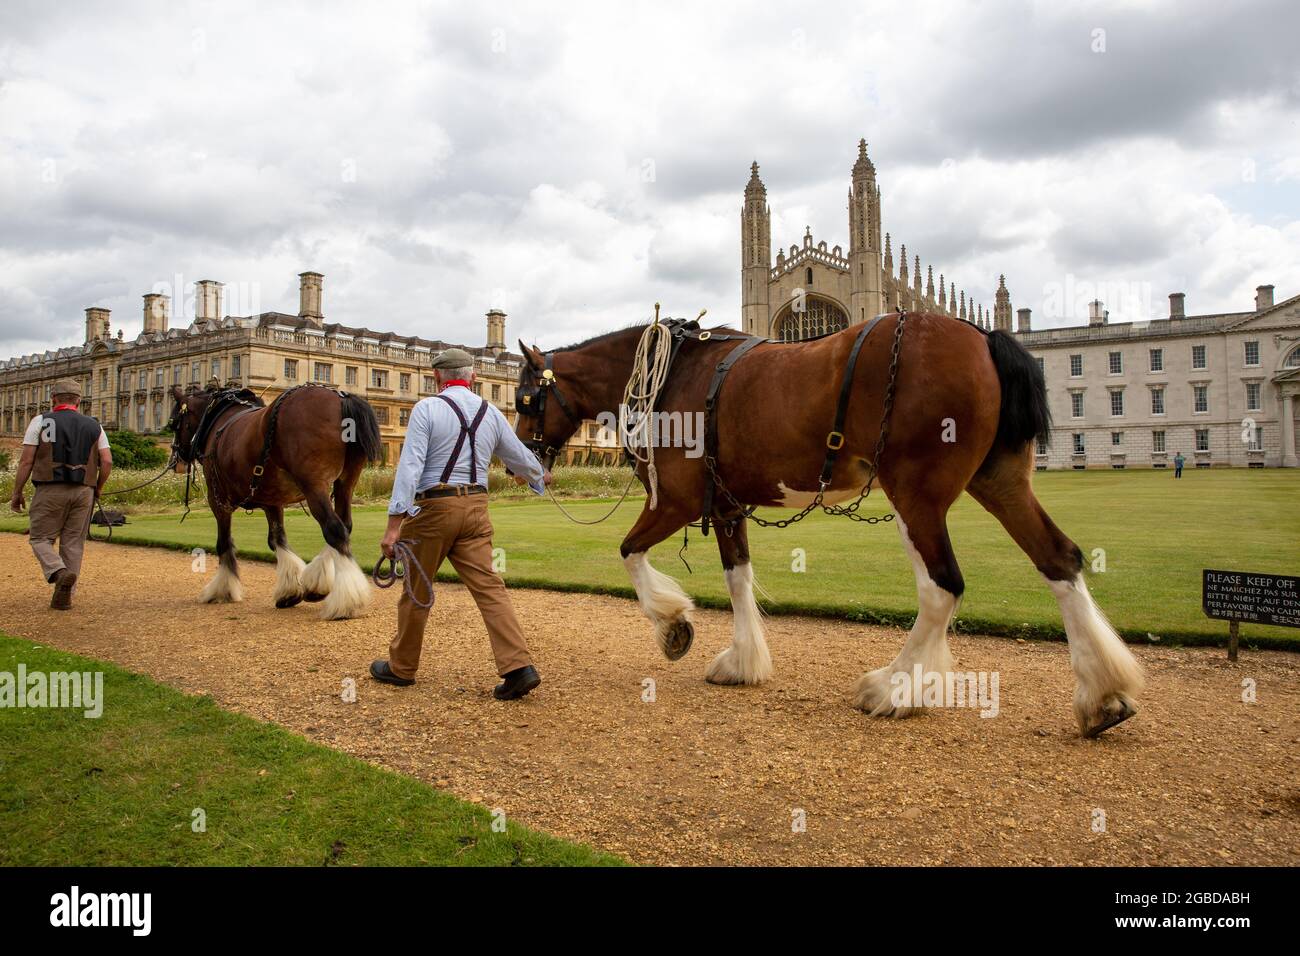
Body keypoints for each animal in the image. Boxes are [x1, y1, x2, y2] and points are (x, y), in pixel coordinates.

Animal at [169, 385, 379, 624]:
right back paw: (317, 584)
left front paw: (223, 589)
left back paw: (346, 601)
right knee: (345, 525)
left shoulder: (218, 500)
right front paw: (290, 591)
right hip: (345, 482)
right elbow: (277, 539)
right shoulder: (273, 500)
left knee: (334, 529)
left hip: (315, 485)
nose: (175, 457)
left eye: (174, 423)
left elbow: (224, 543)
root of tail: (341, 397)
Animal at [512, 316, 1144, 738]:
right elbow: (738, 579)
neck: (675, 375)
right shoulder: (726, 507)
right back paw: (1103, 695)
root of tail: (981, 337)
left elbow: (628, 552)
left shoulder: (679, 502)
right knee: (1059, 559)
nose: (521, 459)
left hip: (916, 495)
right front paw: (743, 661)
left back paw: (894, 687)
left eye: (524, 399)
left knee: (943, 586)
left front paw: (673, 626)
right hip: (1000, 482)